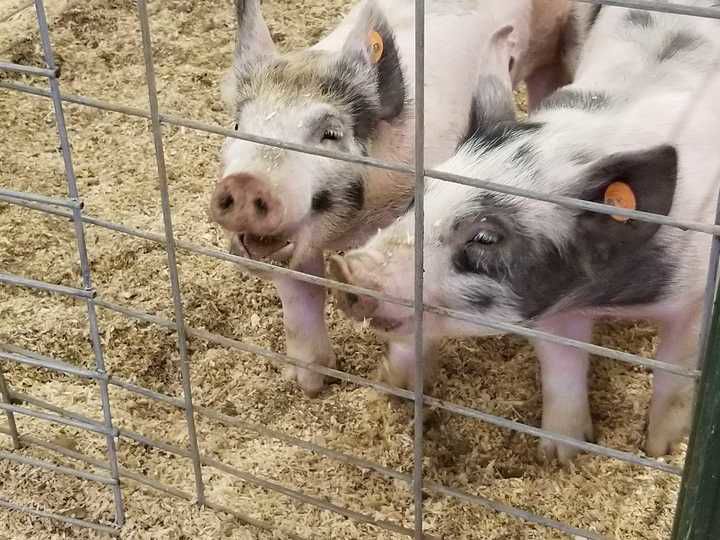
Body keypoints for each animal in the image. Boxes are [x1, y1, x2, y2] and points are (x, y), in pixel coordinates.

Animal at [209, 0, 577, 396]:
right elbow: (303, 296)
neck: (355, 222)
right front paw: (307, 382)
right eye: (237, 127)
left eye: (330, 134)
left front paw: (393, 386)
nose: (246, 183)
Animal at [329, 0, 720, 462]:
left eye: (485, 238)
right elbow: (563, 373)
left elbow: (675, 377)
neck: (610, 294)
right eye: (416, 201)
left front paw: (662, 450)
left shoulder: (695, 300)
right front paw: (558, 457)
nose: (345, 269)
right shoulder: (554, 311)